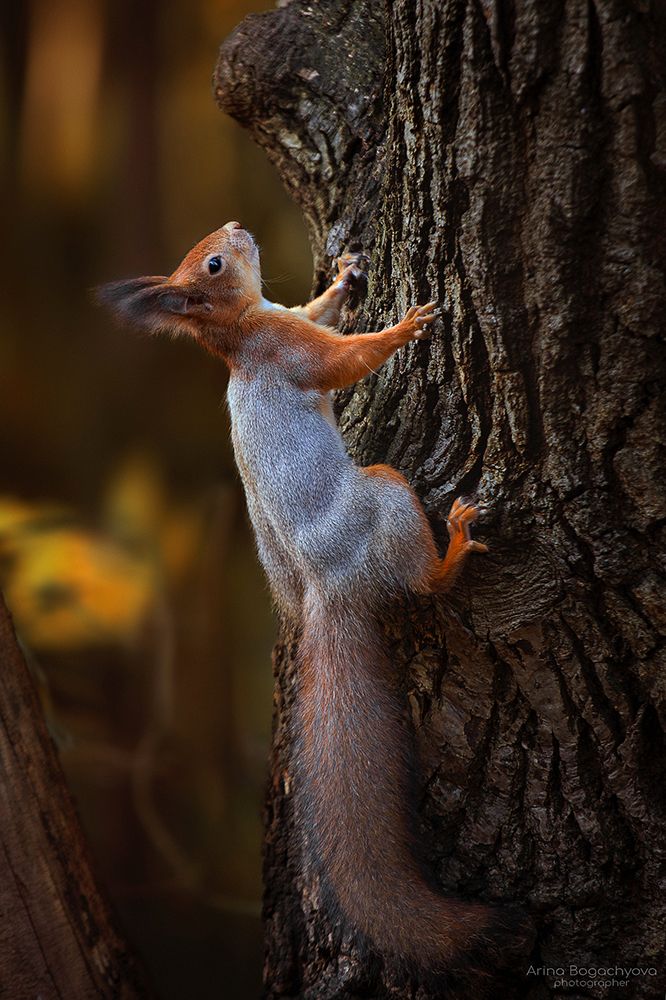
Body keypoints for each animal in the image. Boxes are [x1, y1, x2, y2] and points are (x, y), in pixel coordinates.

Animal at [98, 221, 531, 974]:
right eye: (215, 263)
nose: (237, 227)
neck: (240, 334)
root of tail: (330, 589)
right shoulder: (289, 349)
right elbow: (344, 361)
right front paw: (405, 327)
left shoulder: (290, 319)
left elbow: (319, 311)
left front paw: (347, 277)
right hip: (386, 496)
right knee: (422, 578)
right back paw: (452, 546)